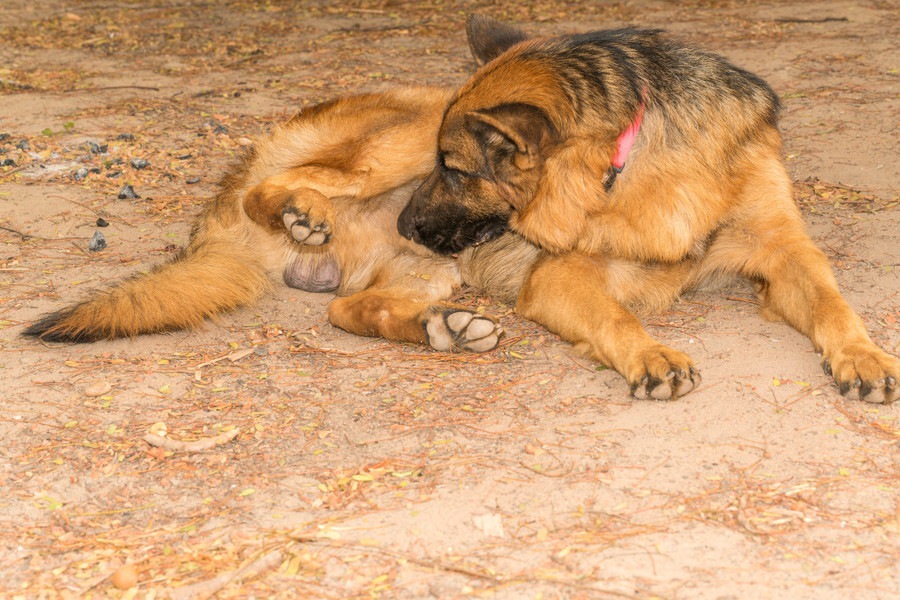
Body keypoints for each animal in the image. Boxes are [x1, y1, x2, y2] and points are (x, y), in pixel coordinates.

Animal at [21, 86, 502, 354]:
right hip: (410, 138)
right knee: (264, 190)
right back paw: (304, 210)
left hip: (429, 267)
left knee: (344, 309)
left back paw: (442, 329)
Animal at [402, 15, 900, 404]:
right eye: (440, 163)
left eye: (452, 169)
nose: (403, 225)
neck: (628, 160)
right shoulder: (556, 274)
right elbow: (615, 315)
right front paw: (650, 354)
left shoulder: (787, 250)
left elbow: (832, 304)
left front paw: (863, 354)